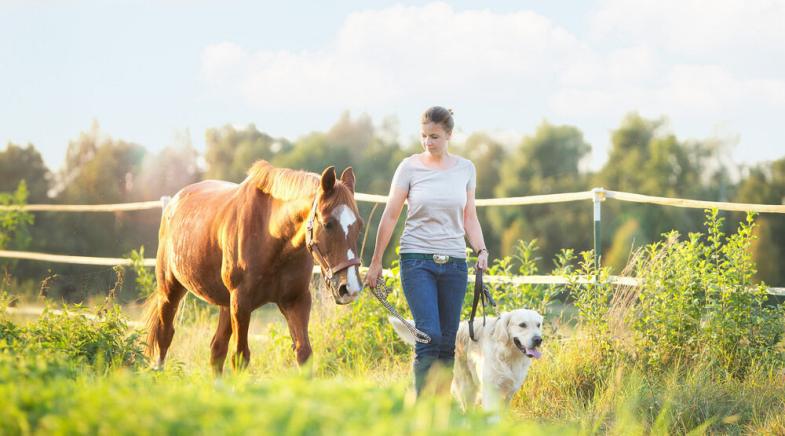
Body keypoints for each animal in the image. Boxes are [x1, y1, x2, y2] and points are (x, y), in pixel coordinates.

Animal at [145, 160, 364, 372]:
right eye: (327, 224)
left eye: (359, 225)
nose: (350, 288)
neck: (271, 234)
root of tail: (173, 203)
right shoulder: (241, 303)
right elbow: (240, 357)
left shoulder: (296, 301)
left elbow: (304, 354)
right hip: (171, 291)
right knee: (165, 336)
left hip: (226, 304)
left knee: (217, 349)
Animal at [388, 308, 544, 410]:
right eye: (522, 325)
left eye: (538, 325)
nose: (538, 340)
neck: (508, 355)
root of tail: (459, 327)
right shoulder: (491, 388)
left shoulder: (509, 392)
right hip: (466, 385)